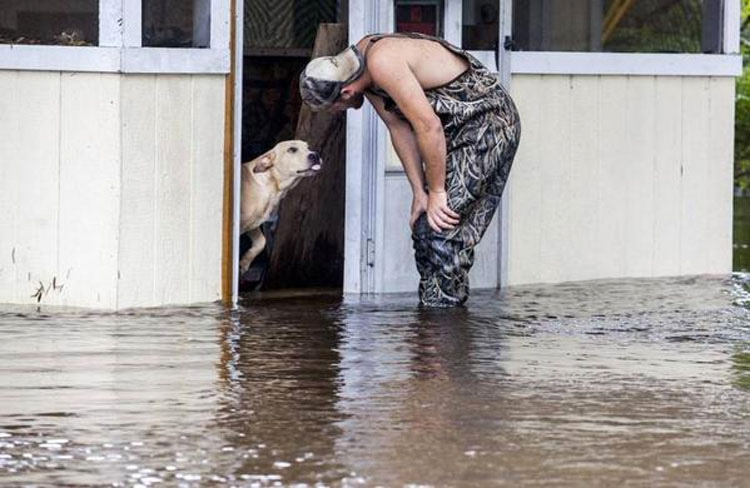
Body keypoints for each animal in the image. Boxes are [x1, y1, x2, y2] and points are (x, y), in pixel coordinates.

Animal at [241, 140, 324, 274]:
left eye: (308, 147)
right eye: (292, 150)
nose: (315, 155)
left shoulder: (252, 224)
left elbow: (261, 242)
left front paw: (244, 263)